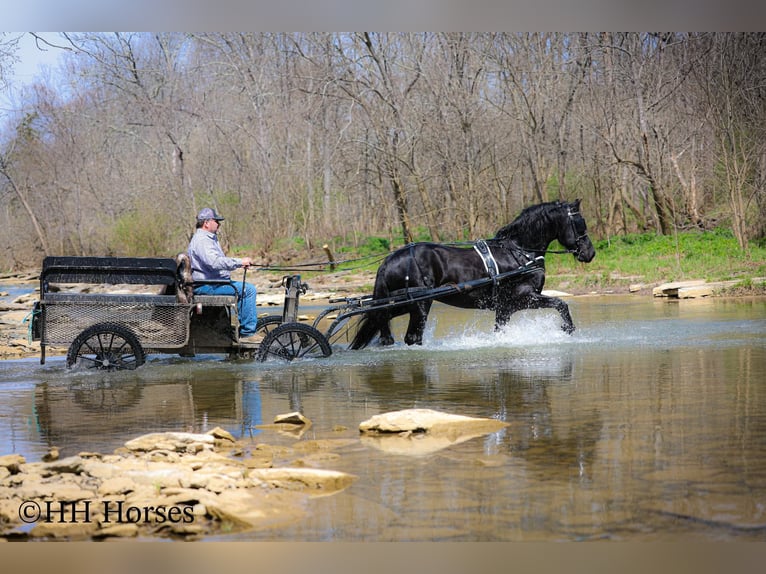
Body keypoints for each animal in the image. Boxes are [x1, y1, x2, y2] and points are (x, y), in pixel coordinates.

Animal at [349, 199, 596, 349]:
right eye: (579, 223)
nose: (590, 253)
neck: (520, 253)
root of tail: (389, 260)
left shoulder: (506, 308)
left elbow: (500, 330)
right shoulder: (524, 297)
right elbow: (561, 303)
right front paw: (567, 328)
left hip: (401, 304)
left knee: (382, 323)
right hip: (420, 304)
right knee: (412, 337)